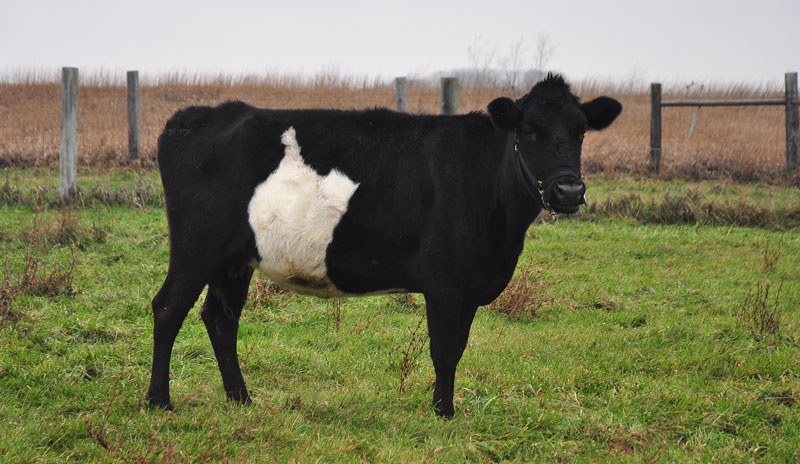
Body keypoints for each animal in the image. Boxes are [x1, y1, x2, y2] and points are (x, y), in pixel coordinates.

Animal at [147, 74, 622, 418]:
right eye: (528, 130)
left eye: (580, 131)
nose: (568, 190)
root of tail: (197, 115)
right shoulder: (445, 281)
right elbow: (443, 348)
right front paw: (444, 414)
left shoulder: (470, 285)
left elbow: (457, 347)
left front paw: (444, 408)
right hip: (196, 246)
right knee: (169, 307)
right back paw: (158, 402)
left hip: (235, 258)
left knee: (220, 318)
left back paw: (241, 400)